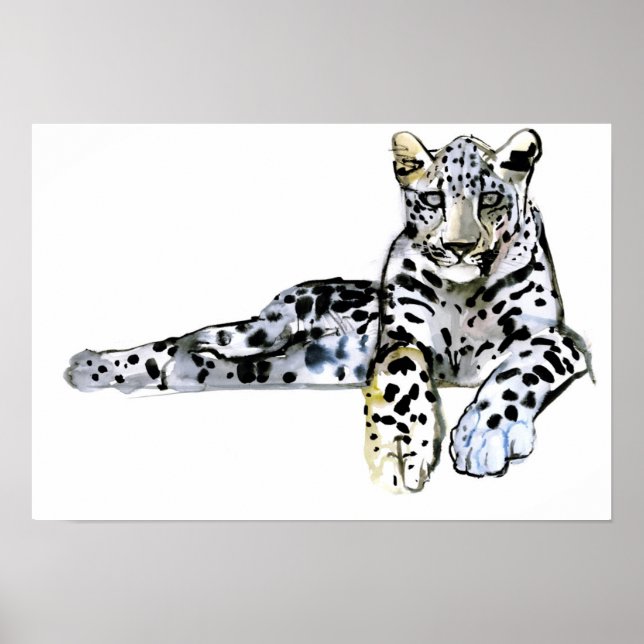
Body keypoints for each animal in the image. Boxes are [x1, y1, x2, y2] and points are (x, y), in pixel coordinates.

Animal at [65, 128, 592, 493]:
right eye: (433, 198)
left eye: (490, 198)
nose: (459, 248)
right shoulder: (401, 336)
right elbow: (405, 376)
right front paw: (401, 446)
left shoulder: (555, 338)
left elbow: (516, 373)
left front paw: (483, 436)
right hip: (264, 329)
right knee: (176, 344)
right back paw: (94, 365)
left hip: (289, 366)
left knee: (204, 364)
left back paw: (165, 368)